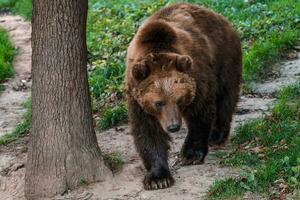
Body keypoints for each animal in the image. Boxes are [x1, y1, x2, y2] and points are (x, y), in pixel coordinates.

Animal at [125, 3, 243, 191]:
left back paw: (217, 135)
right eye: (158, 103)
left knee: (226, 95)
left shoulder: (197, 77)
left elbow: (200, 113)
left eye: (179, 100)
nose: (173, 126)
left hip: (225, 57)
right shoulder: (136, 94)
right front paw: (158, 178)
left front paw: (191, 155)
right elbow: (147, 130)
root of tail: (218, 16)